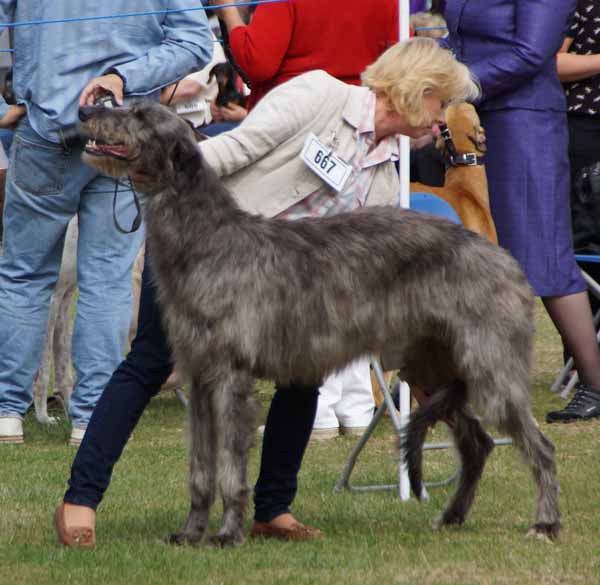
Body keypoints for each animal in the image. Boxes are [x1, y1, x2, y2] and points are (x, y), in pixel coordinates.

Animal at [77, 100, 560, 544]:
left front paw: (228, 533)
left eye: (140, 115)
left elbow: (230, 468)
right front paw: (191, 532)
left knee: (540, 446)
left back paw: (546, 523)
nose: (85, 110)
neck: (208, 239)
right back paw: (454, 515)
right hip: (430, 368)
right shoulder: (199, 377)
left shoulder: (231, 375)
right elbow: (200, 467)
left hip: (488, 365)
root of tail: (504, 256)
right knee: (477, 443)